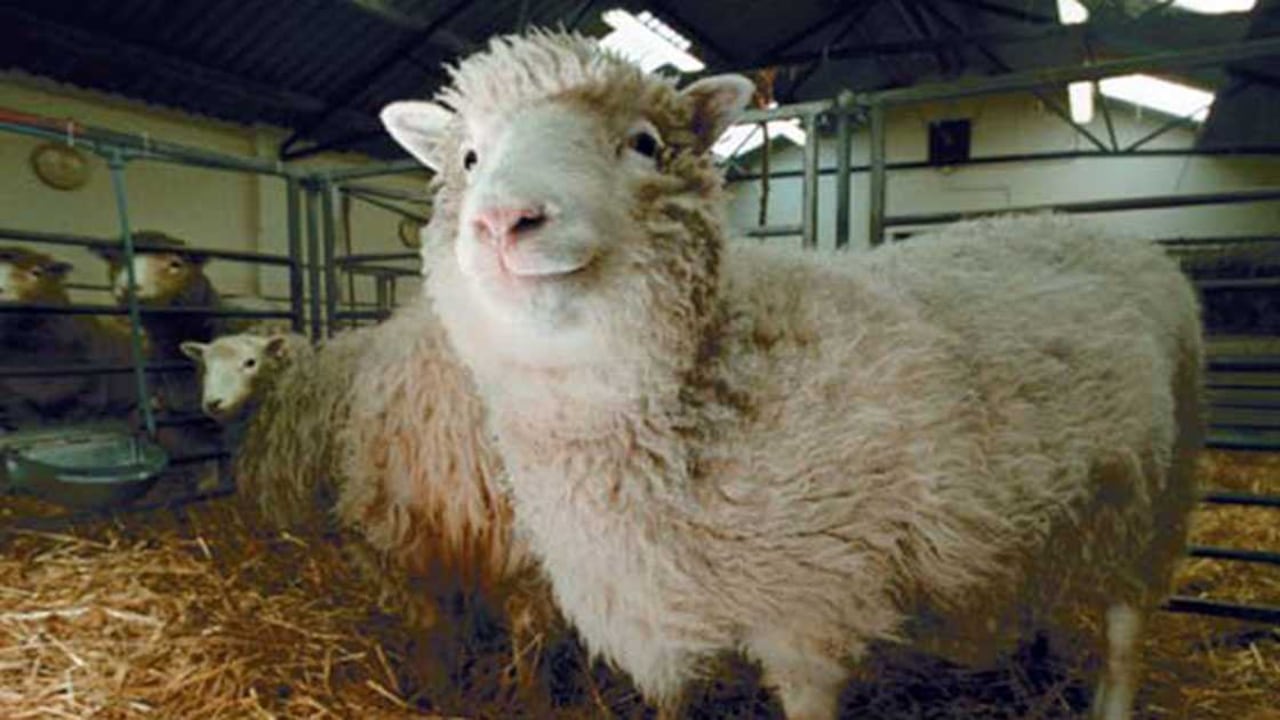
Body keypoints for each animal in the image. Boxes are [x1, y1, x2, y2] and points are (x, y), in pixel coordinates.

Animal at [380, 31, 1203, 720]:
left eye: (644, 143)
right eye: (467, 159)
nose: (504, 220)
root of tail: (1095, 228)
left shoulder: (811, 610)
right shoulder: (660, 613)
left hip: (1161, 496)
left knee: (1126, 630)